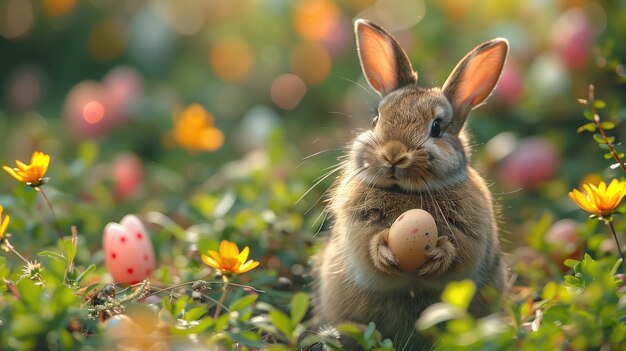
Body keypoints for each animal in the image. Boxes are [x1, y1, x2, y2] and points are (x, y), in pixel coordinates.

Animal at [312, 20, 508, 351]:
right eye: (376, 119)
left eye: (437, 128)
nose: (393, 155)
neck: (407, 192)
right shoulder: (357, 227)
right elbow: (368, 249)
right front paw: (385, 252)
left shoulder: (470, 234)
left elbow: (458, 254)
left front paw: (438, 256)